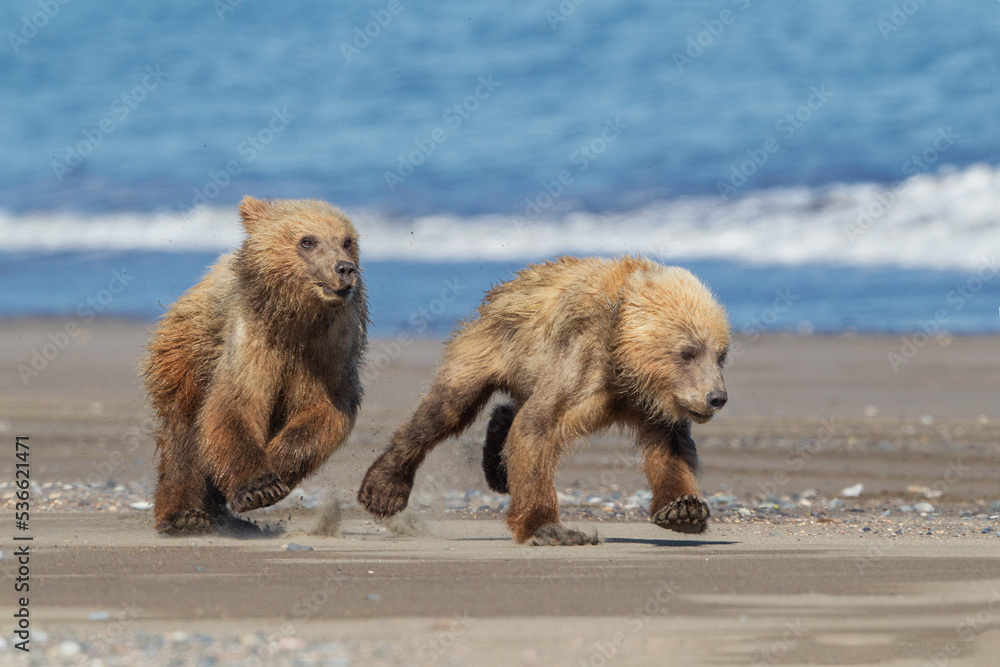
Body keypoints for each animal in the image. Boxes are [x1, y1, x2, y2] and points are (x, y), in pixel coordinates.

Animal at [141, 196, 368, 535]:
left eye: (347, 241)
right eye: (307, 241)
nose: (344, 268)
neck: (295, 322)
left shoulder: (330, 353)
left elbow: (324, 412)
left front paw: (276, 460)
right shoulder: (252, 338)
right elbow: (236, 403)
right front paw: (259, 487)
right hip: (185, 358)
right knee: (184, 436)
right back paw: (186, 514)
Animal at [357, 255, 730, 545]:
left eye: (721, 355)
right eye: (688, 352)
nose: (717, 397)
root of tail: (507, 285)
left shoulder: (658, 403)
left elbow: (671, 449)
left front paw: (684, 509)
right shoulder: (581, 362)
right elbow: (538, 425)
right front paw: (551, 528)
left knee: (506, 411)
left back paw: (498, 464)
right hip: (490, 346)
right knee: (446, 408)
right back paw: (384, 489)